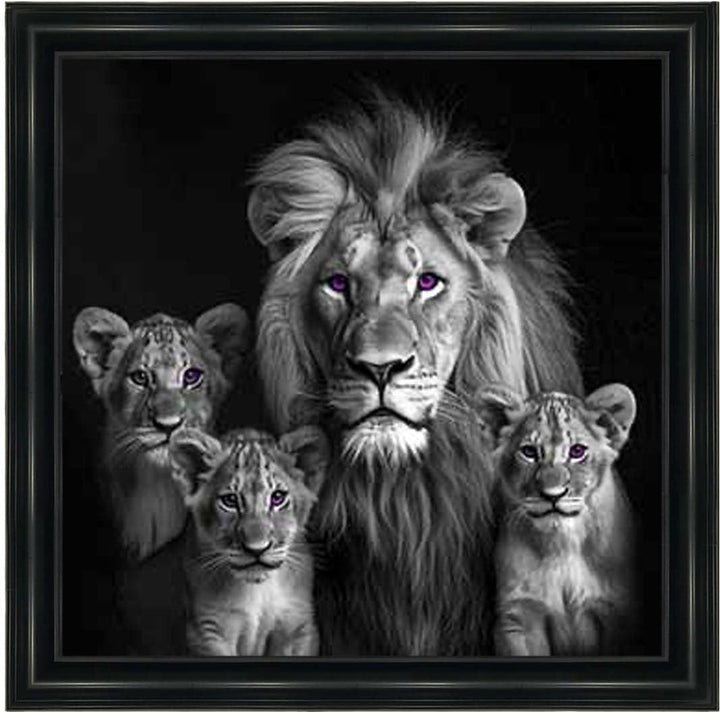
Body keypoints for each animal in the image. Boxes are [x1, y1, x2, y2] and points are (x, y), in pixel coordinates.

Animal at [168, 426, 328, 656]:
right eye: (230, 501)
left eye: (277, 497)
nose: (257, 549)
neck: (257, 590)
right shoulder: (208, 632)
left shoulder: (298, 627)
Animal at [475, 383, 636, 656]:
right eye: (529, 452)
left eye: (577, 451)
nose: (553, 495)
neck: (562, 543)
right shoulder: (520, 616)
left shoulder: (618, 613)